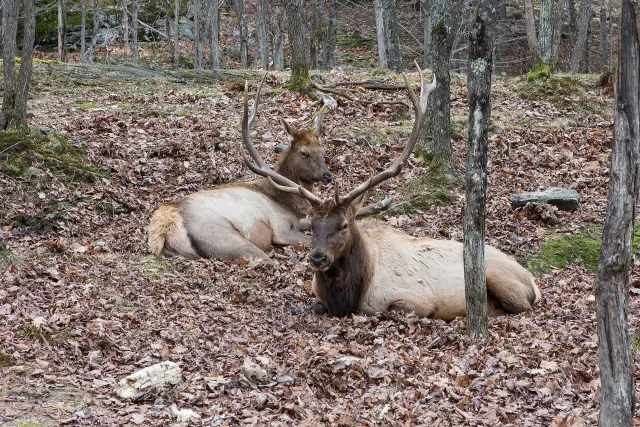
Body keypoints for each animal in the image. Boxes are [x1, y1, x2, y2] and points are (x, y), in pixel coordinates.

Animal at [148, 77, 391, 264]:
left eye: (323, 150)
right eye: (304, 153)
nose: (327, 175)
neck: (284, 200)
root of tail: (163, 229)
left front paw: (383, 203)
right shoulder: (281, 229)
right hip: (223, 237)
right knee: (265, 259)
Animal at [243, 65, 542, 320]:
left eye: (344, 224)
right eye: (313, 224)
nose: (317, 258)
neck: (349, 294)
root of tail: (532, 278)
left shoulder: (415, 300)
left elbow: (390, 310)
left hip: (500, 278)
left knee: (523, 307)